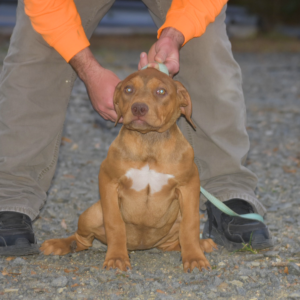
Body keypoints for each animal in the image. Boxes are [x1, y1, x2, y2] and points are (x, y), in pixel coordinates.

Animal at [41, 69, 217, 274]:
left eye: (161, 91)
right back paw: (62, 244)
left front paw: (195, 257)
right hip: (92, 214)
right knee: (82, 239)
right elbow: (115, 224)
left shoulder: (189, 186)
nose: (138, 108)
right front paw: (117, 257)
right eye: (128, 89)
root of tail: (142, 246)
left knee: (174, 241)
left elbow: (190, 225)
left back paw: (202, 244)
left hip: (176, 217)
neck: (149, 143)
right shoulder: (108, 181)